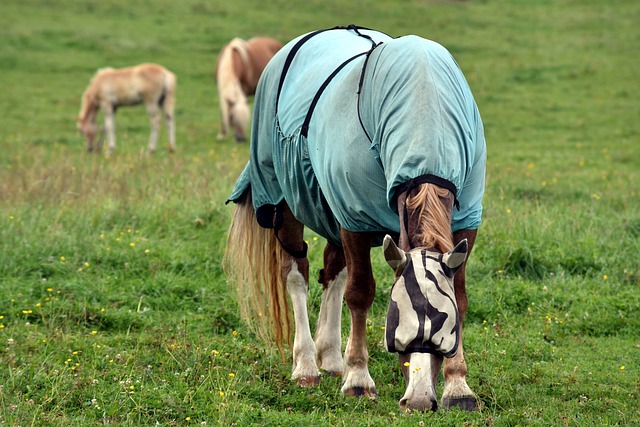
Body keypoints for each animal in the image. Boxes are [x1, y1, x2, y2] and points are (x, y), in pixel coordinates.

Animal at [224, 25, 484, 412]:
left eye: (444, 335)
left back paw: (331, 357)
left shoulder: (467, 220)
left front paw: (458, 384)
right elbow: (360, 293)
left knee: (333, 270)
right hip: (287, 201)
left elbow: (462, 298)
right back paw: (307, 365)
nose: (420, 401)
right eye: (396, 332)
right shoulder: (354, 218)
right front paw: (358, 379)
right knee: (297, 273)